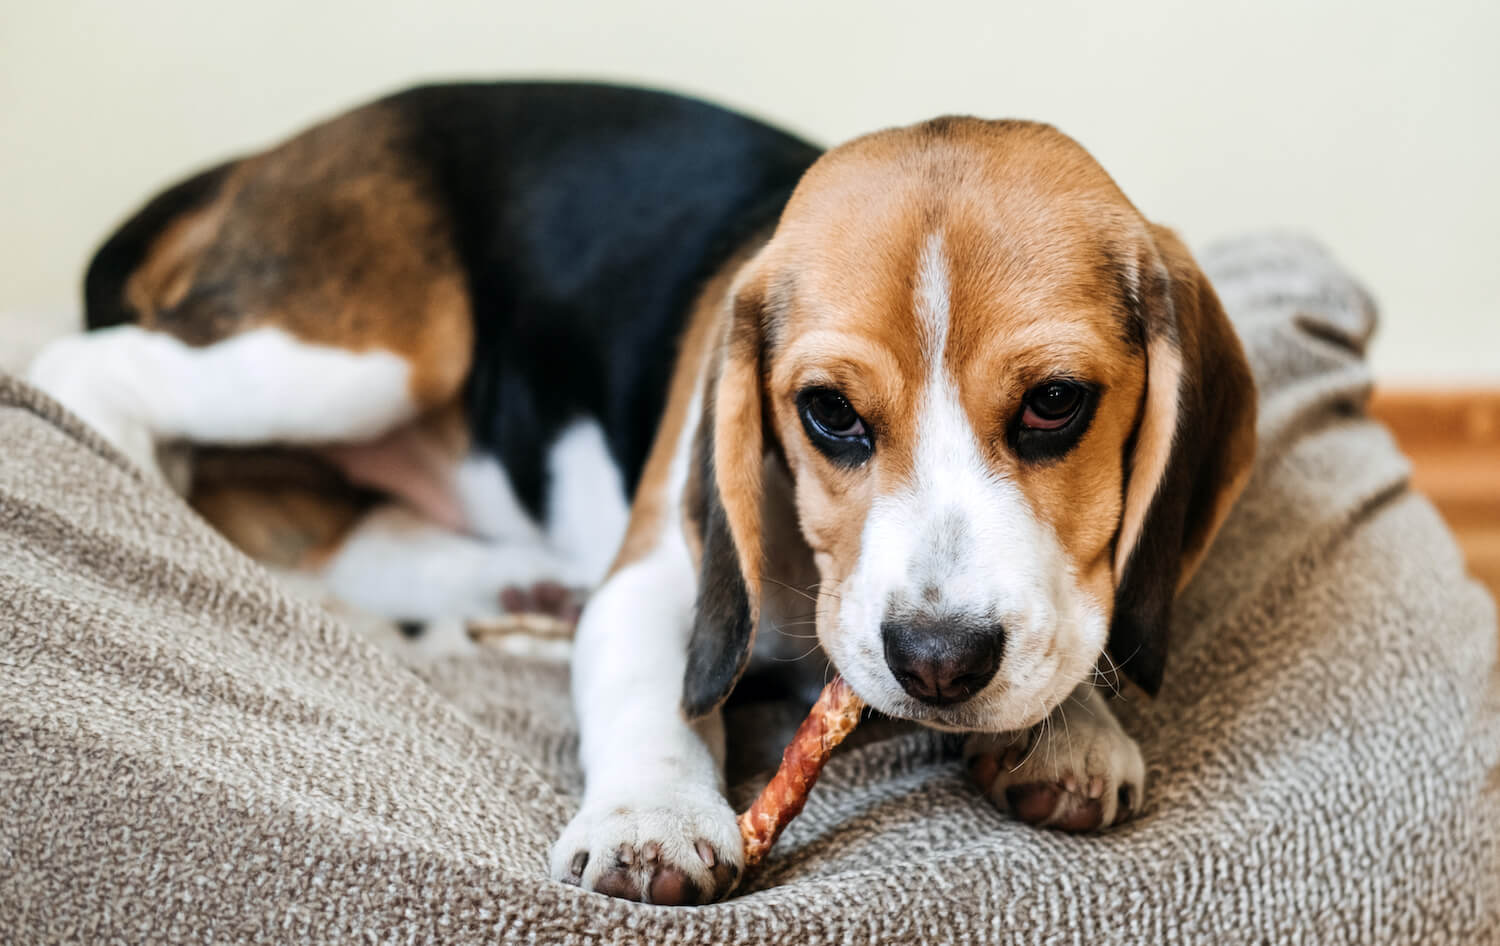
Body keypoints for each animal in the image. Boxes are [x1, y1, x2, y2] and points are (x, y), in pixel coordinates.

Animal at [29, 83, 1260, 911]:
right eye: (828, 413)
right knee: (94, 384)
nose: (939, 661)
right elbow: (650, 689)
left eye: (1056, 403)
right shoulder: (665, 576)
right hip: (366, 354)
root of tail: (268, 154)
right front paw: (652, 819)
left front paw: (1074, 727)